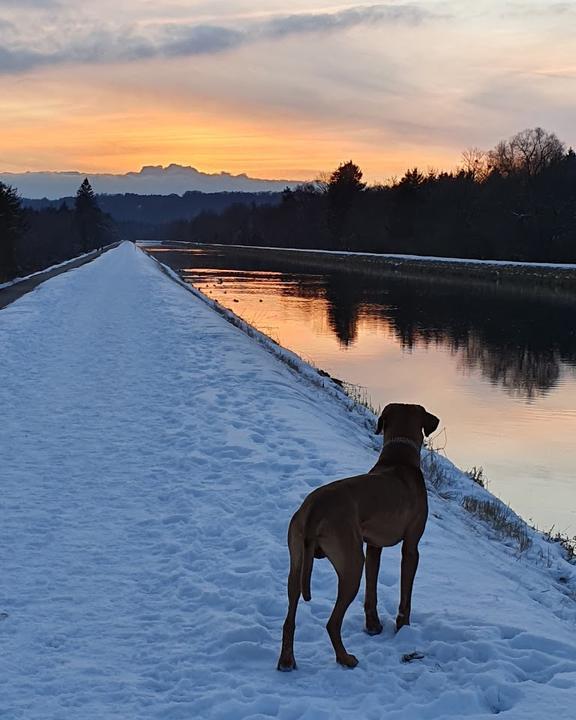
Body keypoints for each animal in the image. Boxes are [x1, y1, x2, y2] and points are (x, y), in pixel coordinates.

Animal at [276, 402, 438, 672]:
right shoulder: (411, 547)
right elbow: (406, 593)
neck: (398, 459)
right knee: (332, 623)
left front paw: (373, 626)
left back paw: (287, 660)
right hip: (351, 563)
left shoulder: (373, 546)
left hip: (297, 559)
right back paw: (345, 658)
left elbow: (372, 588)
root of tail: (314, 511)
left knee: (290, 615)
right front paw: (402, 627)